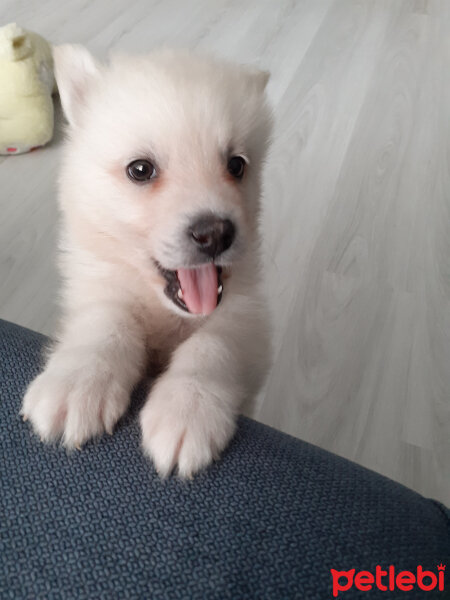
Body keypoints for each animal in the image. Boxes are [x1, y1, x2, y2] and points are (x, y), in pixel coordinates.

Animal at [22, 45, 270, 478]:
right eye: (140, 170)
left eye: (237, 165)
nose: (216, 234)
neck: (164, 310)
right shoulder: (98, 289)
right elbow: (107, 325)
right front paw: (77, 382)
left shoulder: (247, 316)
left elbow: (214, 345)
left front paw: (188, 407)